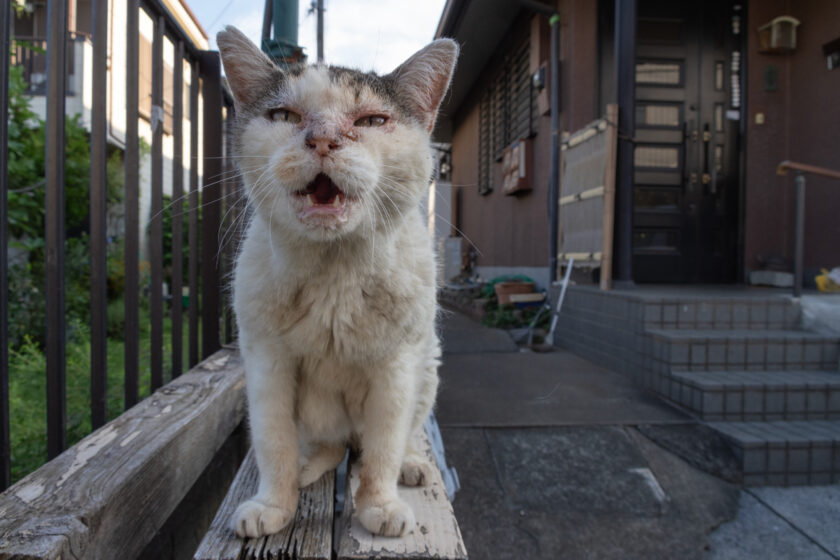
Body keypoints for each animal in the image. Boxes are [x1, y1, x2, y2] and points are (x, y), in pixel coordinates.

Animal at [213, 26, 456, 540]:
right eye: (284, 115)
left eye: (373, 120)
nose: (323, 139)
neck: (335, 278)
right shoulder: (267, 364)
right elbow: (274, 442)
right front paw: (274, 503)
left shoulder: (396, 369)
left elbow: (384, 446)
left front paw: (379, 505)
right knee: (330, 445)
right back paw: (308, 467)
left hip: (427, 370)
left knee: (393, 439)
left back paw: (411, 466)